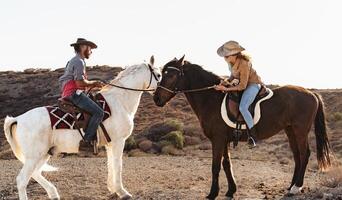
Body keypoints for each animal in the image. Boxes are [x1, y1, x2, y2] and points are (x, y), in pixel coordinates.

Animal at [3, 56, 160, 200]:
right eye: (158, 75)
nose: (159, 98)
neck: (119, 101)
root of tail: (18, 119)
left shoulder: (110, 143)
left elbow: (111, 165)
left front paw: (113, 189)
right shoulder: (118, 141)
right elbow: (118, 166)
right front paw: (122, 192)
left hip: (44, 153)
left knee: (36, 173)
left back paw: (53, 193)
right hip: (34, 156)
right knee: (22, 180)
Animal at [153, 56, 332, 200]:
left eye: (170, 75)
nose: (156, 98)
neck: (211, 99)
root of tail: (311, 93)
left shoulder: (217, 139)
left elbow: (216, 166)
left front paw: (212, 193)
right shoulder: (223, 139)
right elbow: (227, 164)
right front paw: (231, 190)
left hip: (300, 130)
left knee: (304, 154)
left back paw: (296, 187)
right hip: (290, 131)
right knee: (297, 156)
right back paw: (291, 186)